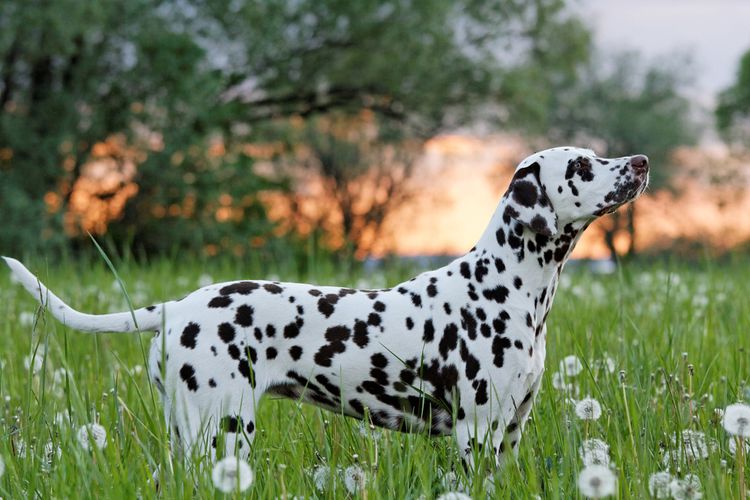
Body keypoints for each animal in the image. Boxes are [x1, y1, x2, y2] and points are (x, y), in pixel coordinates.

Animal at [4, 146, 652, 470]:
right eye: (582, 165)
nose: (642, 162)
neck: (504, 287)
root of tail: (177, 307)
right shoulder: (478, 434)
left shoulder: (511, 432)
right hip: (224, 432)